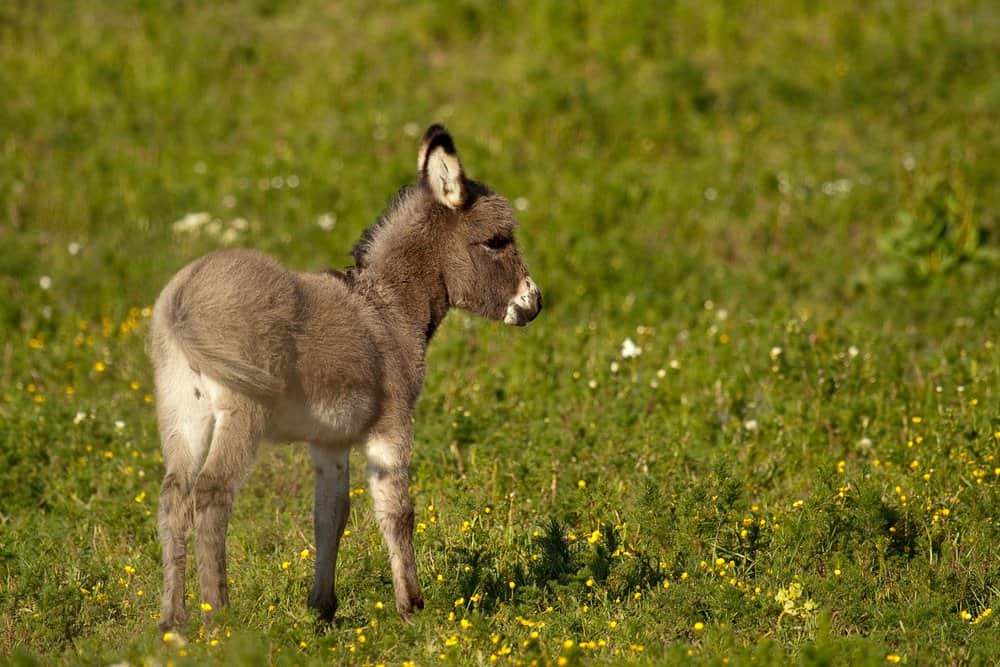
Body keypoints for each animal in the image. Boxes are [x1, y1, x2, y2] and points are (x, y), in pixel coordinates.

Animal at [150, 126, 540, 632]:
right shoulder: (393, 424)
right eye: (496, 241)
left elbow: (330, 515)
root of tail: (183, 295)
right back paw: (220, 621)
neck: (388, 308)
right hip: (242, 410)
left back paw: (172, 623)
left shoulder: (330, 441)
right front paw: (412, 607)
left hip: (182, 411)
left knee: (174, 497)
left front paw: (323, 610)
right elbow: (396, 510)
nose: (535, 303)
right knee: (213, 494)